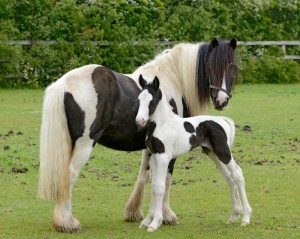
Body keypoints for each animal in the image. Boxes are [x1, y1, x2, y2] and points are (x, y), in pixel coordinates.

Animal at [135, 75, 251, 232]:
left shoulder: (163, 157)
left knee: (238, 175)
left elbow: (159, 187)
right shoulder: (154, 157)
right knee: (229, 178)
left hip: (223, 152)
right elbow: (154, 187)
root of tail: (223, 120)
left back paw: (245, 218)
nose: (139, 121)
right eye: (139, 99)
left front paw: (154, 223)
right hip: (213, 153)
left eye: (151, 100)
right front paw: (147, 221)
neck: (162, 124)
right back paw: (233, 217)